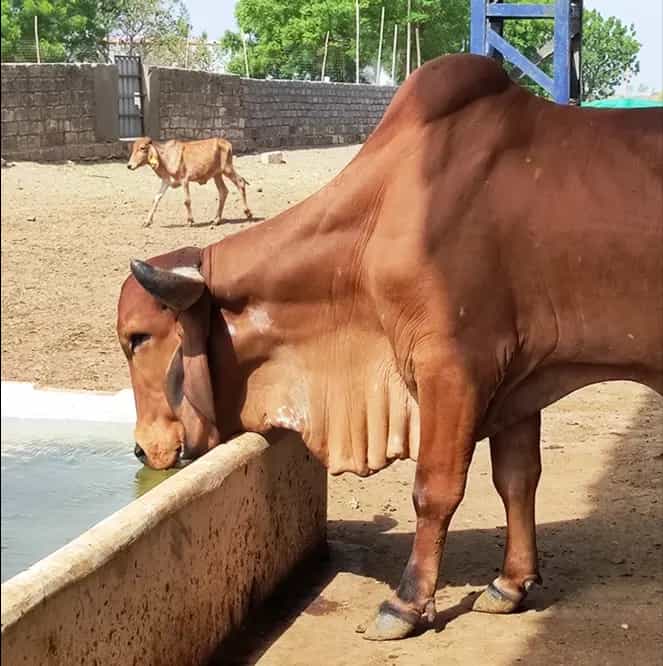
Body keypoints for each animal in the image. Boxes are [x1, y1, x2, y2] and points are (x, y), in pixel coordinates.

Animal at [117, 54, 663, 641]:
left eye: (137, 338)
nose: (141, 448)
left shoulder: (455, 368)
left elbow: (434, 489)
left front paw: (406, 603)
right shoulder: (519, 380)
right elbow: (516, 478)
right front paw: (510, 584)